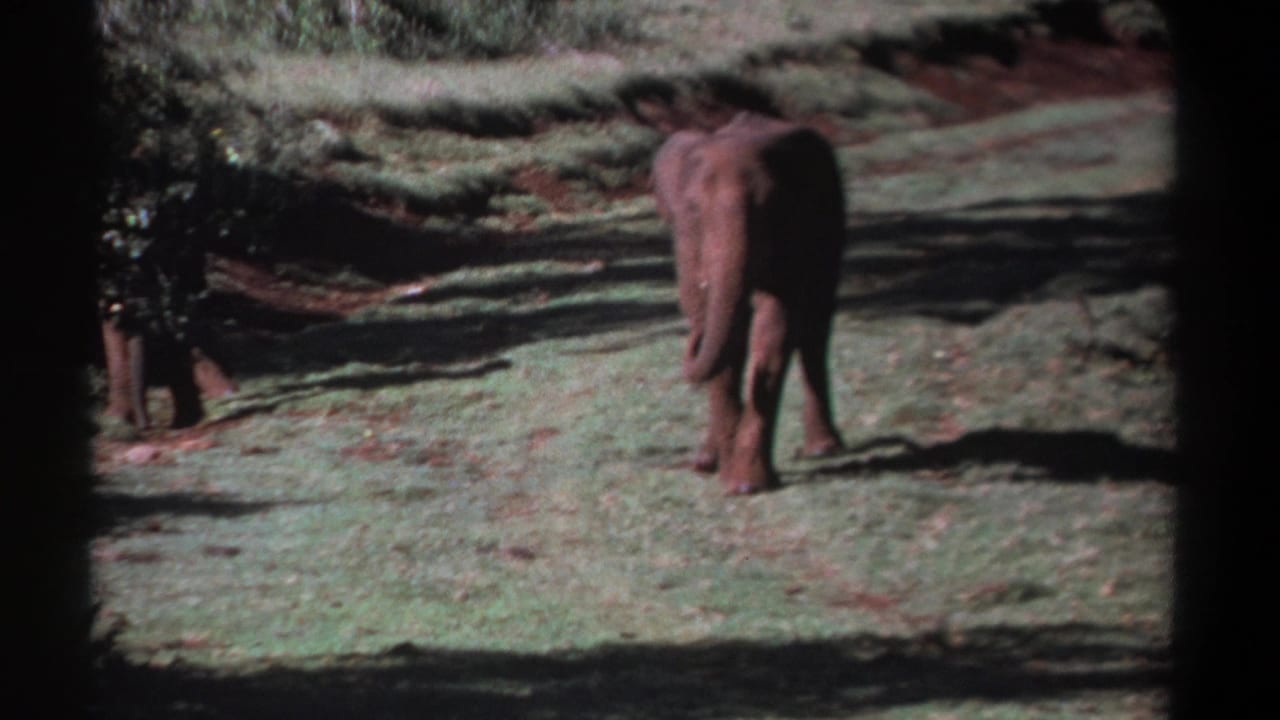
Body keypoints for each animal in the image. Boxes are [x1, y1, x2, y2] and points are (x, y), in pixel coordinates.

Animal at [652, 112, 846, 494]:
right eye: (693, 209)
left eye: (770, 206)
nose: (692, 339)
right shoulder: (687, 245)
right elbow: (726, 338)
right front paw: (728, 475)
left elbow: (774, 327)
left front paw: (744, 485)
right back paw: (706, 461)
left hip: (832, 226)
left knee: (816, 327)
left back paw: (822, 448)